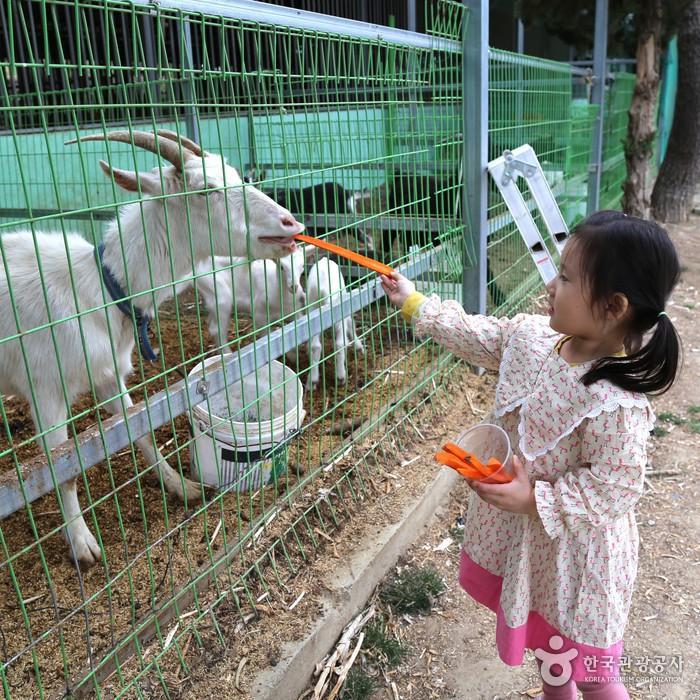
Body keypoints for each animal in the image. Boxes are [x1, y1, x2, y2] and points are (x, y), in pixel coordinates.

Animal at [0, 129, 304, 568]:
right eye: (204, 189)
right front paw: (83, 544)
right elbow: (64, 471)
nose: (290, 222)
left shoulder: (107, 372)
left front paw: (181, 486)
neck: (100, 287)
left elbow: (137, 429)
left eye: (236, 174)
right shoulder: (45, 391)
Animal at [306, 258, 364, 388]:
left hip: (312, 310)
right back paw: (341, 377)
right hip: (338, 308)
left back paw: (312, 381)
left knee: (315, 346)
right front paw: (359, 347)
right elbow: (350, 323)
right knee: (340, 343)